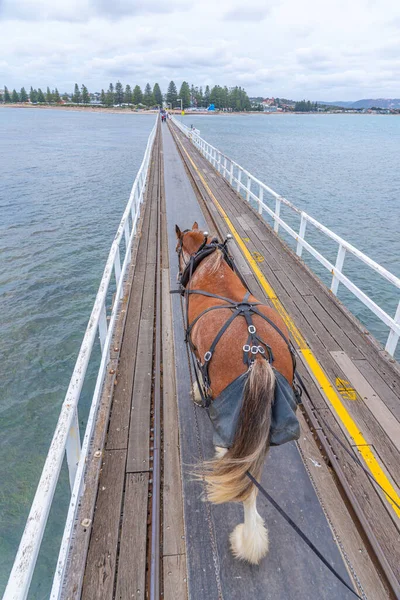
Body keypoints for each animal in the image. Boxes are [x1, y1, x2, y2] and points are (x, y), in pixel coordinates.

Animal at [176, 223, 296, 564]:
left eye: (177, 250)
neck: (212, 274)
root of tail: (258, 355)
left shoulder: (196, 353)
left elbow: (201, 384)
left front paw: (198, 394)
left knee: (245, 481)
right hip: (265, 425)